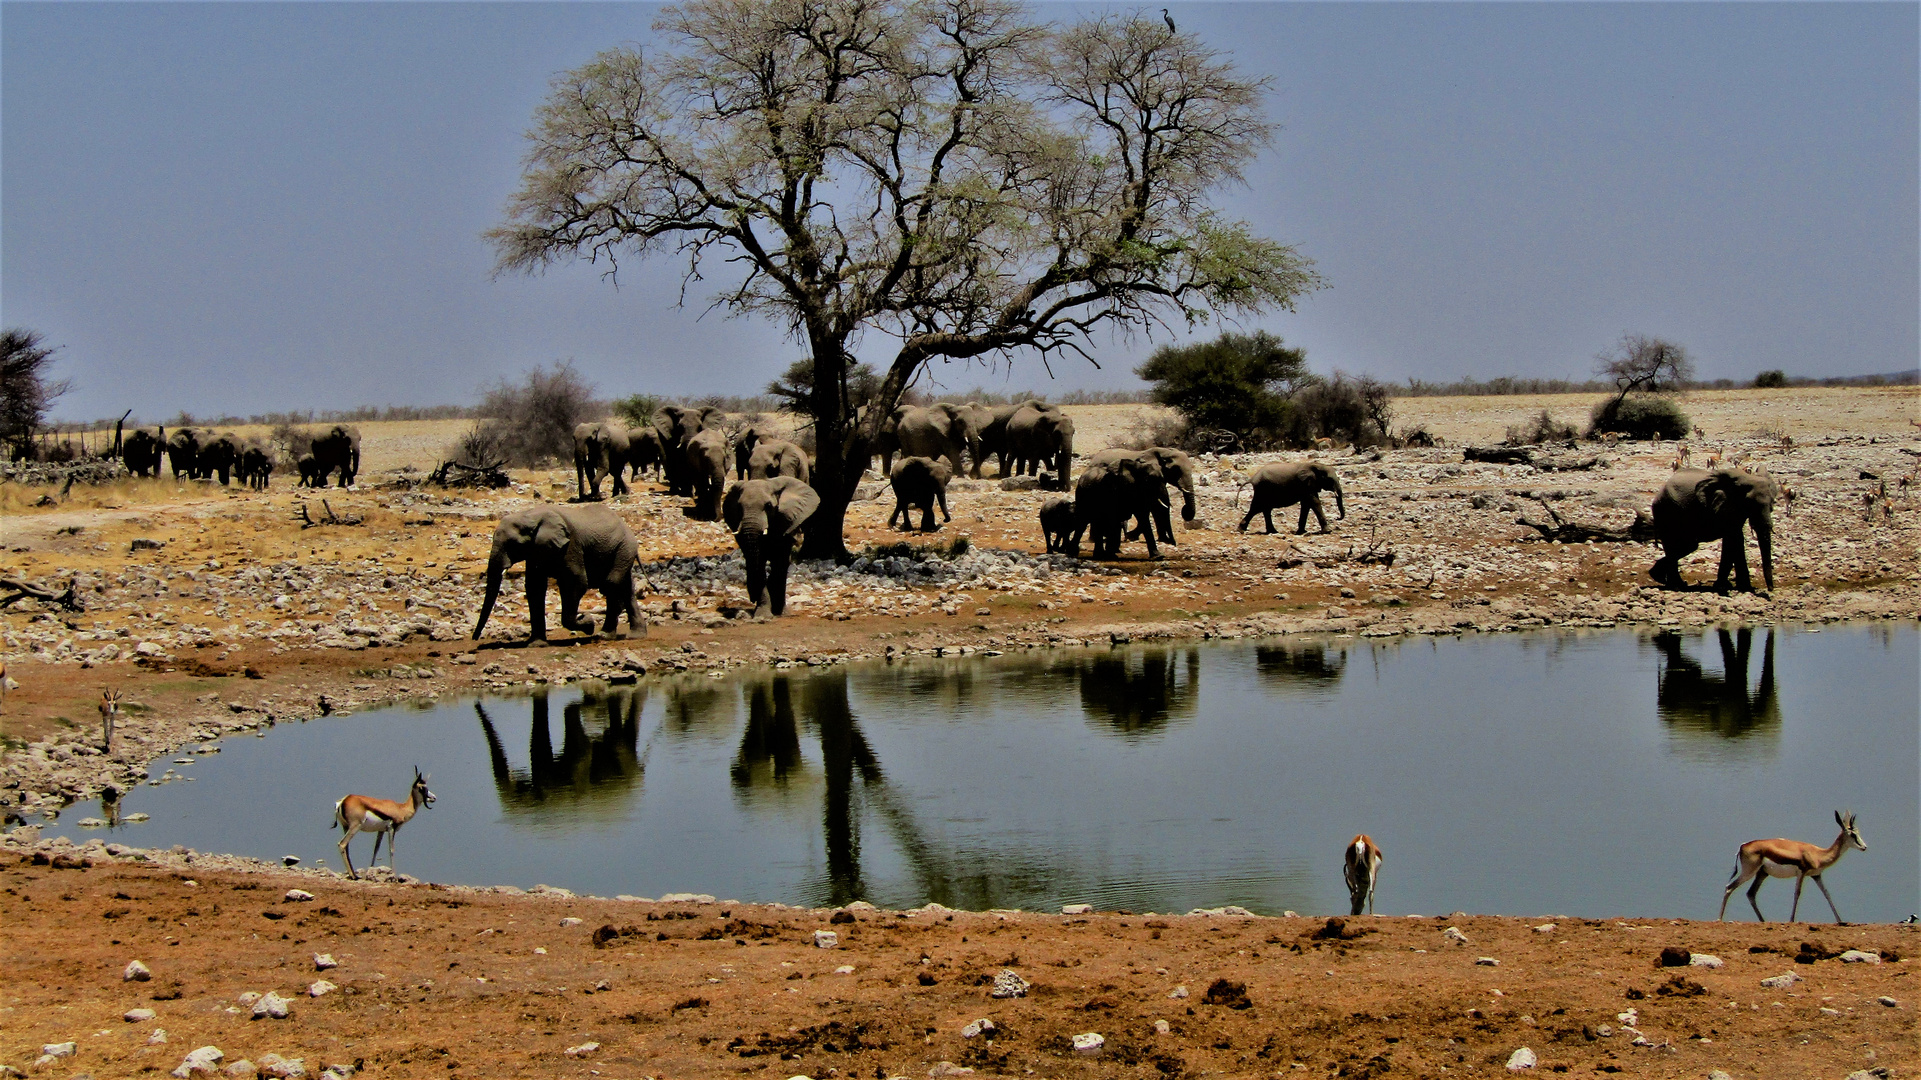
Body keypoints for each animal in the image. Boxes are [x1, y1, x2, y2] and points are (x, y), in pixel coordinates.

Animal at [472, 503, 645, 641]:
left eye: (512, 544)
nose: (475, 639)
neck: (530, 515)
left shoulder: (571, 545)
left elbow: (577, 582)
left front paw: (588, 623)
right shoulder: (536, 549)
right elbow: (535, 587)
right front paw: (537, 644)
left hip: (624, 548)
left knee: (611, 584)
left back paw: (604, 635)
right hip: (622, 551)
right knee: (626, 589)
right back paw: (634, 635)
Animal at [718, 476, 814, 618]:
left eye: (768, 506)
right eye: (739, 507)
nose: (752, 598)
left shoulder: (784, 521)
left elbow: (779, 561)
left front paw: (774, 612)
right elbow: (758, 562)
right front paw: (762, 615)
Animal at [1644, 466, 1775, 591]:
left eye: (1772, 504)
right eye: (1749, 503)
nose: (1770, 589)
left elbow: (1735, 539)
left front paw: (1739, 587)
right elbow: (1734, 539)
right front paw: (1726, 587)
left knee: (1687, 546)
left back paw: (1660, 577)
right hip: (1665, 512)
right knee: (1679, 546)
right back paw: (1674, 585)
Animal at [1728, 807, 1859, 914]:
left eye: (1858, 832)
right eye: (1852, 835)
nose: (1863, 847)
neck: (1818, 854)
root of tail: (1743, 845)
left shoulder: (1816, 875)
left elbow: (1827, 893)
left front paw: (1841, 921)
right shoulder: (1801, 872)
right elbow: (1797, 894)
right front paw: (1791, 920)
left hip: (1762, 873)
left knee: (1750, 894)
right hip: (1749, 872)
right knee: (1729, 887)